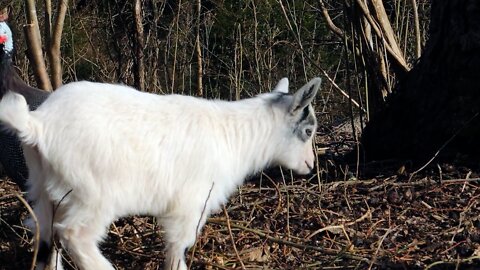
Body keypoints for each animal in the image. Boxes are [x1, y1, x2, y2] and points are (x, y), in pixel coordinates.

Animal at [0, 77, 322, 268]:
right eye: (308, 131)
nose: (311, 166)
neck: (236, 136)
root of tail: (40, 124)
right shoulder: (190, 205)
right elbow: (178, 247)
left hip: (44, 190)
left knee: (43, 235)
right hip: (92, 194)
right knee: (74, 235)